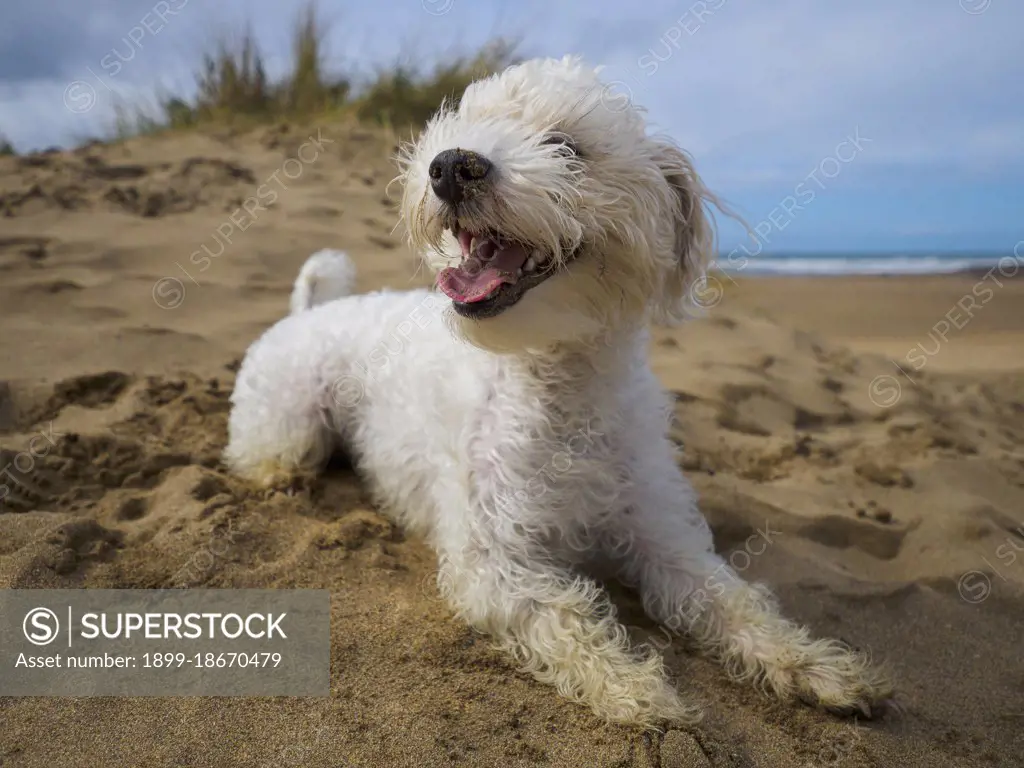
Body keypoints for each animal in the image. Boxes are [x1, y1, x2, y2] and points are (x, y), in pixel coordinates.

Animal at [222, 57, 888, 729]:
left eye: (568, 148)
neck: (558, 390)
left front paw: (815, 666)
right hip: (291, 425)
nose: (450, 166)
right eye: (461, 126)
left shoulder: (665, 537)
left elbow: (732, 601)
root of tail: (309, 310)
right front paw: (633, 687)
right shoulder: (492, 561)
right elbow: (567, 617)